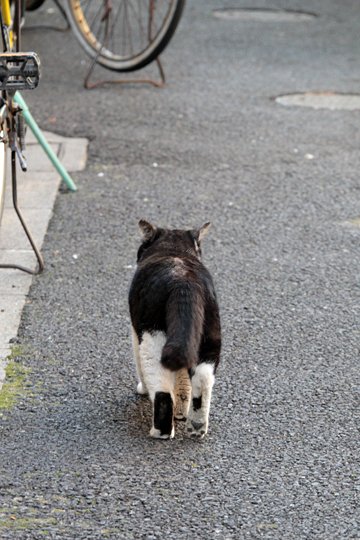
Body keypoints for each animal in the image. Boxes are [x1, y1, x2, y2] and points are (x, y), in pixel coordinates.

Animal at [128, 219, 221, 438]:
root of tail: (184, 282)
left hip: (153, 338)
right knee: (203, 379)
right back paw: (196, 427)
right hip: (208, 336)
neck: (174, 248)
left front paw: (143, 389)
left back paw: (161, 432)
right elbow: (183, 382)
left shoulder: (136, 333)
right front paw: (181, 413)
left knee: (161, 389)